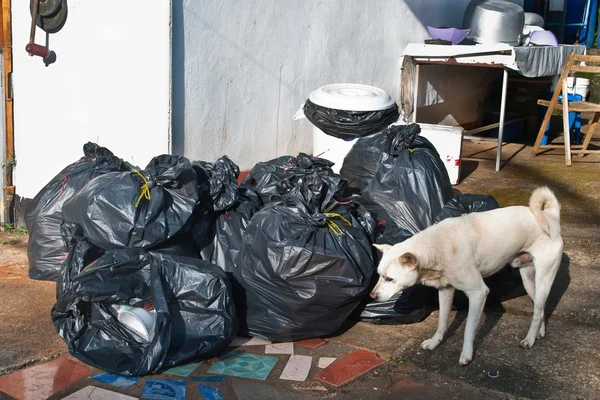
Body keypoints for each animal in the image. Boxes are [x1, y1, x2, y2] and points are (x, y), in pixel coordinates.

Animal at [370, 186, 564, 364]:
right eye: (379, 274)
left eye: (389, 278)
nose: (372, 296)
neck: (438, 246)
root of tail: (551, 216)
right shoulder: (445, 290)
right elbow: (442, 322)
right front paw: (435, 342)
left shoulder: (478, 294)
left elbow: (468, 329)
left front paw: (466, 355)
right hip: (528, 279)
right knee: (539, 307)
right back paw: (539, 332)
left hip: (544, 277)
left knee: (538, 310)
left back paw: (529, 339)